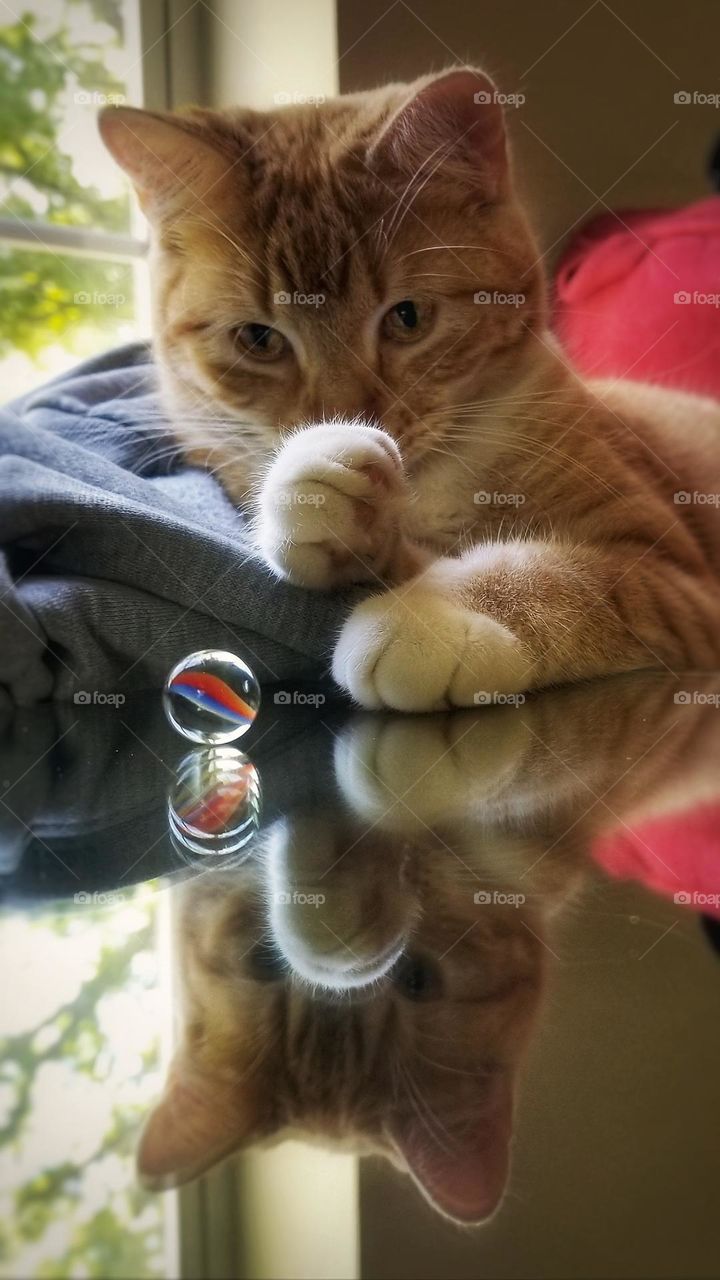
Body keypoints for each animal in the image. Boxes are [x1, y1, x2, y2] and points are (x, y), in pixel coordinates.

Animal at [99, 67, 717, 711]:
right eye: (258, 338)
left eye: (409, 317)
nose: (344, 415)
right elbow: (398, 554)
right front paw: (331, 494)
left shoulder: (672, 573)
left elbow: (575, 577)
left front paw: (436, 617)